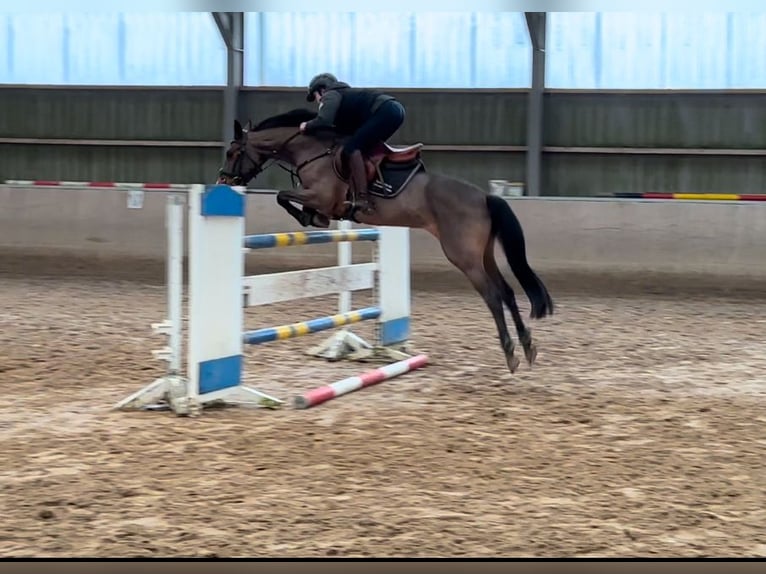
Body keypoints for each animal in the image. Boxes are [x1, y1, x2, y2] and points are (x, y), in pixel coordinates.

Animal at [219, 109, 556, 376]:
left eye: (233, 152)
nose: (223, 181)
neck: (311, 151)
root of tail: (484, 196)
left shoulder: (321, 196)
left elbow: (283, 196)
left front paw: (309, 218)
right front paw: (312, 218)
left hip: (463, 256)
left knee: (493, 296)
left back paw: (510, 353)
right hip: (483, 254)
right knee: (507, 292)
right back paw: (527, 347)